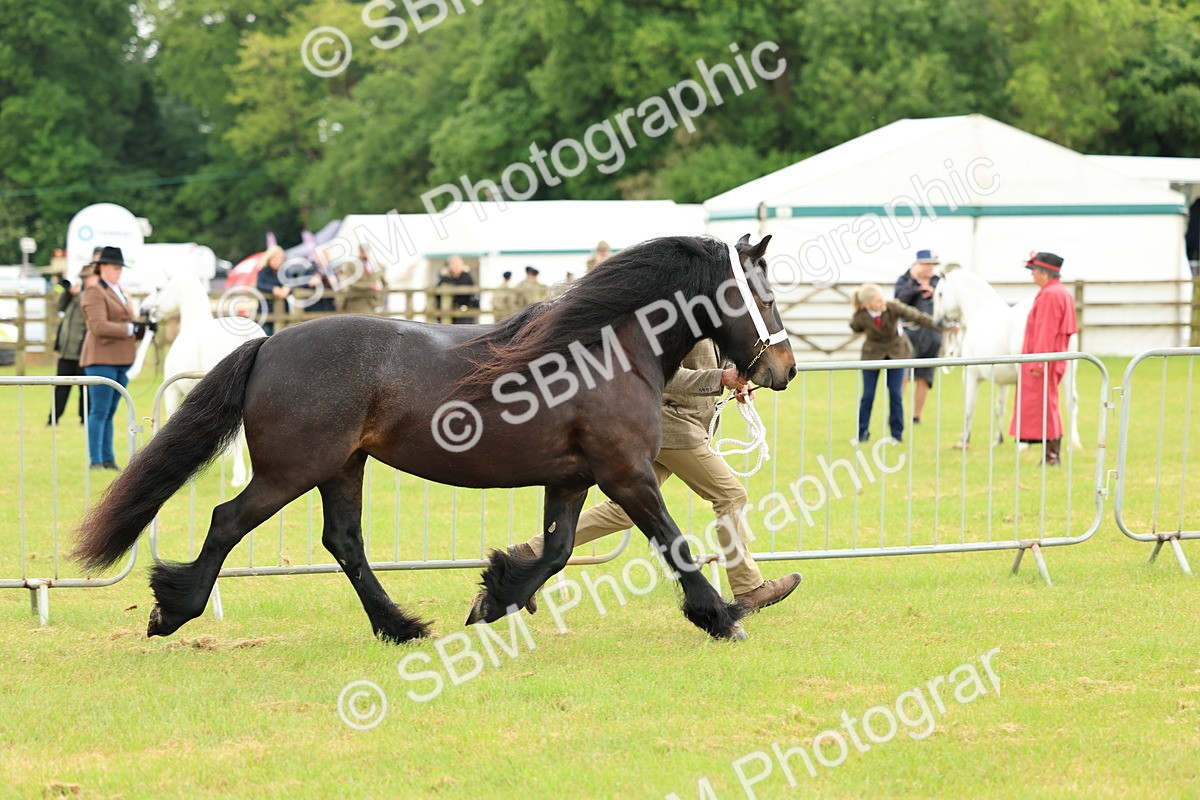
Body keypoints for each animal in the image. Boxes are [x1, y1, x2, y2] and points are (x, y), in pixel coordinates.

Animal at [932, 265, 1081, 450]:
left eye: (940, 293)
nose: (937, 323)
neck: (979, 312)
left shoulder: (971, 375)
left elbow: (969, 408)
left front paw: (964, 441)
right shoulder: (1002, 380)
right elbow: (999, 408)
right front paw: (998, 439)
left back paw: (1024, 443)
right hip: (1068, 372)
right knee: (1071, 402)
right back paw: (1072, 443)